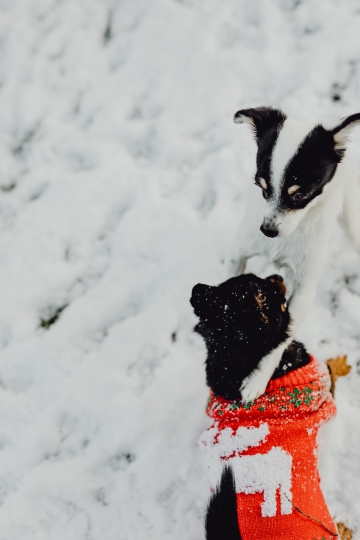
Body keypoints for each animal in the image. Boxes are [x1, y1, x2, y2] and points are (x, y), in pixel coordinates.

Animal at [228, 106, 360, 400]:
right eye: (262, 188)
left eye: (301, 195)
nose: (267, 230)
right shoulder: (239, 252)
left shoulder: (304, 292)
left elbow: (281, 338)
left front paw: (257, 379)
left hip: (352, 220)